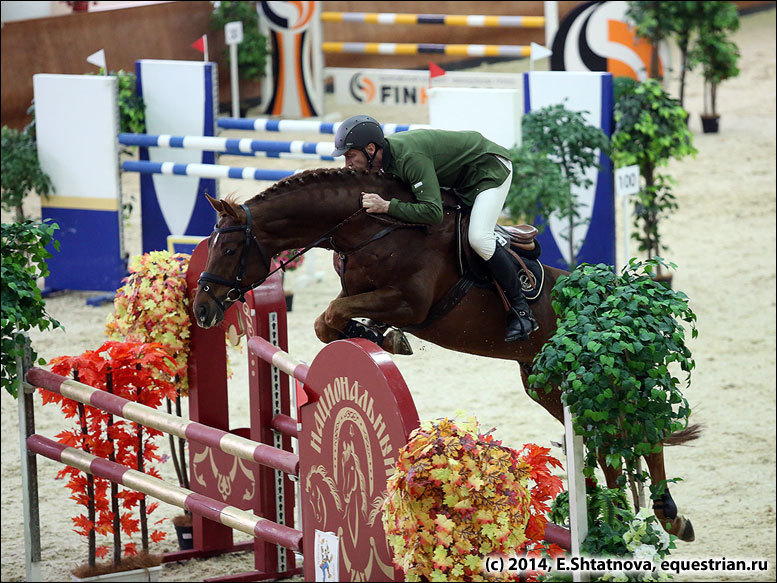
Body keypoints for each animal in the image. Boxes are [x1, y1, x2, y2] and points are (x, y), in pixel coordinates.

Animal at [191, 167, 696, 540]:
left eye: (230, 248)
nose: (201, 309)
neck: (372, 228)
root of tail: (617, 308)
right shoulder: (365, 295)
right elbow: (326, 322)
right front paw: (380, 337)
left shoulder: (410, 303)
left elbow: (333, 314)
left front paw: (384, 337)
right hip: (548, 386)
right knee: (609, 445)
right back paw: (615, 519)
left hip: (600, 381)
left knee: (641, 434)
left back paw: (669, 515)